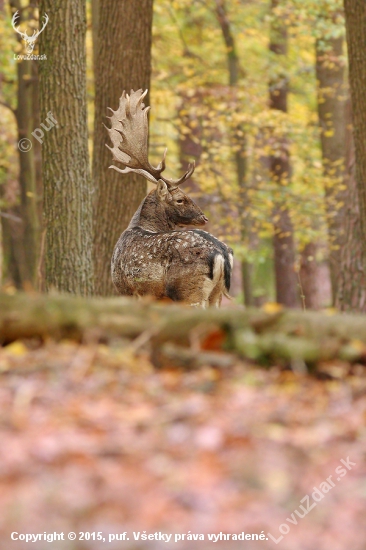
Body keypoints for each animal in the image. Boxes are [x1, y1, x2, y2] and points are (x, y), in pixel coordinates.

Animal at [106, 88, 233, 308]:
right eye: (180, 199)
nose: (204, 217)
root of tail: (221, 254)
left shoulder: (127, 290)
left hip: (189, 292)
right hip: (215, 295)